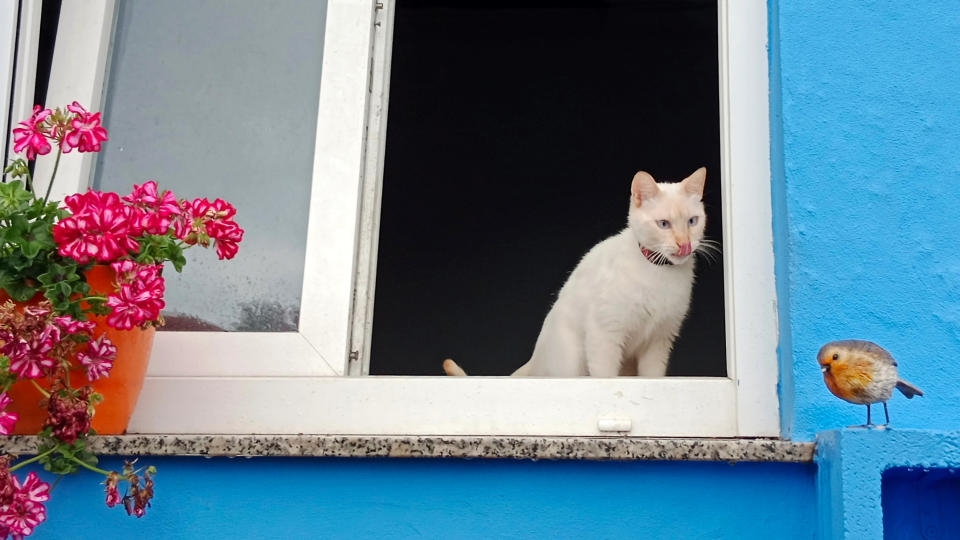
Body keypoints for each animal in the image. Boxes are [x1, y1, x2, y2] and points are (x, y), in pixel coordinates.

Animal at [444, 167, 712, 378]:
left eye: (692, 221)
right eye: (663, 224)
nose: (684, 245)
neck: (659, 273)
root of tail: (534, 360)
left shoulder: (658, 343)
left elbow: (653, 378)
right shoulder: (604, 334)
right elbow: (606, 377)